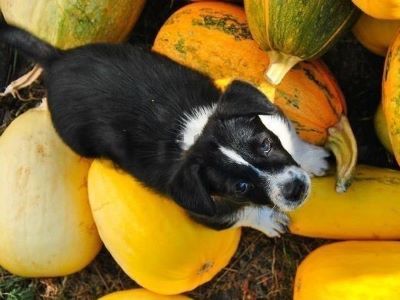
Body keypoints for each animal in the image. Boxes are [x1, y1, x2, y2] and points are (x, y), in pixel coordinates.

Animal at [0, 24, 330, 237]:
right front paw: (269, 222)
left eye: (264, 144)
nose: (295, 189)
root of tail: (57, 61)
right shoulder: (206, 209)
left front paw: (314, 158)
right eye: (241, 187)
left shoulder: (271, 118)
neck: (195, 133)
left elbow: (291, 137)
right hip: (76, 139)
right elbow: (240, 214)